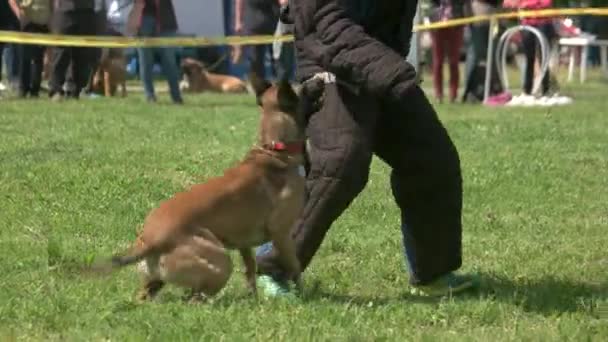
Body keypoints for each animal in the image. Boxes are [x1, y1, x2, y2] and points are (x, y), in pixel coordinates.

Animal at [97, 73, 306, 302]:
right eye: (303, 88)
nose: (318, 82)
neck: (274, 151)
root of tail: (152, 240)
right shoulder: (282, 234)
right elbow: (294, 266)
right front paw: (300, 293)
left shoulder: (243, 241)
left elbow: (250, 268)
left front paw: (254, 296)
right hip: (220, 262)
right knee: (194, 299)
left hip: (154, 281)